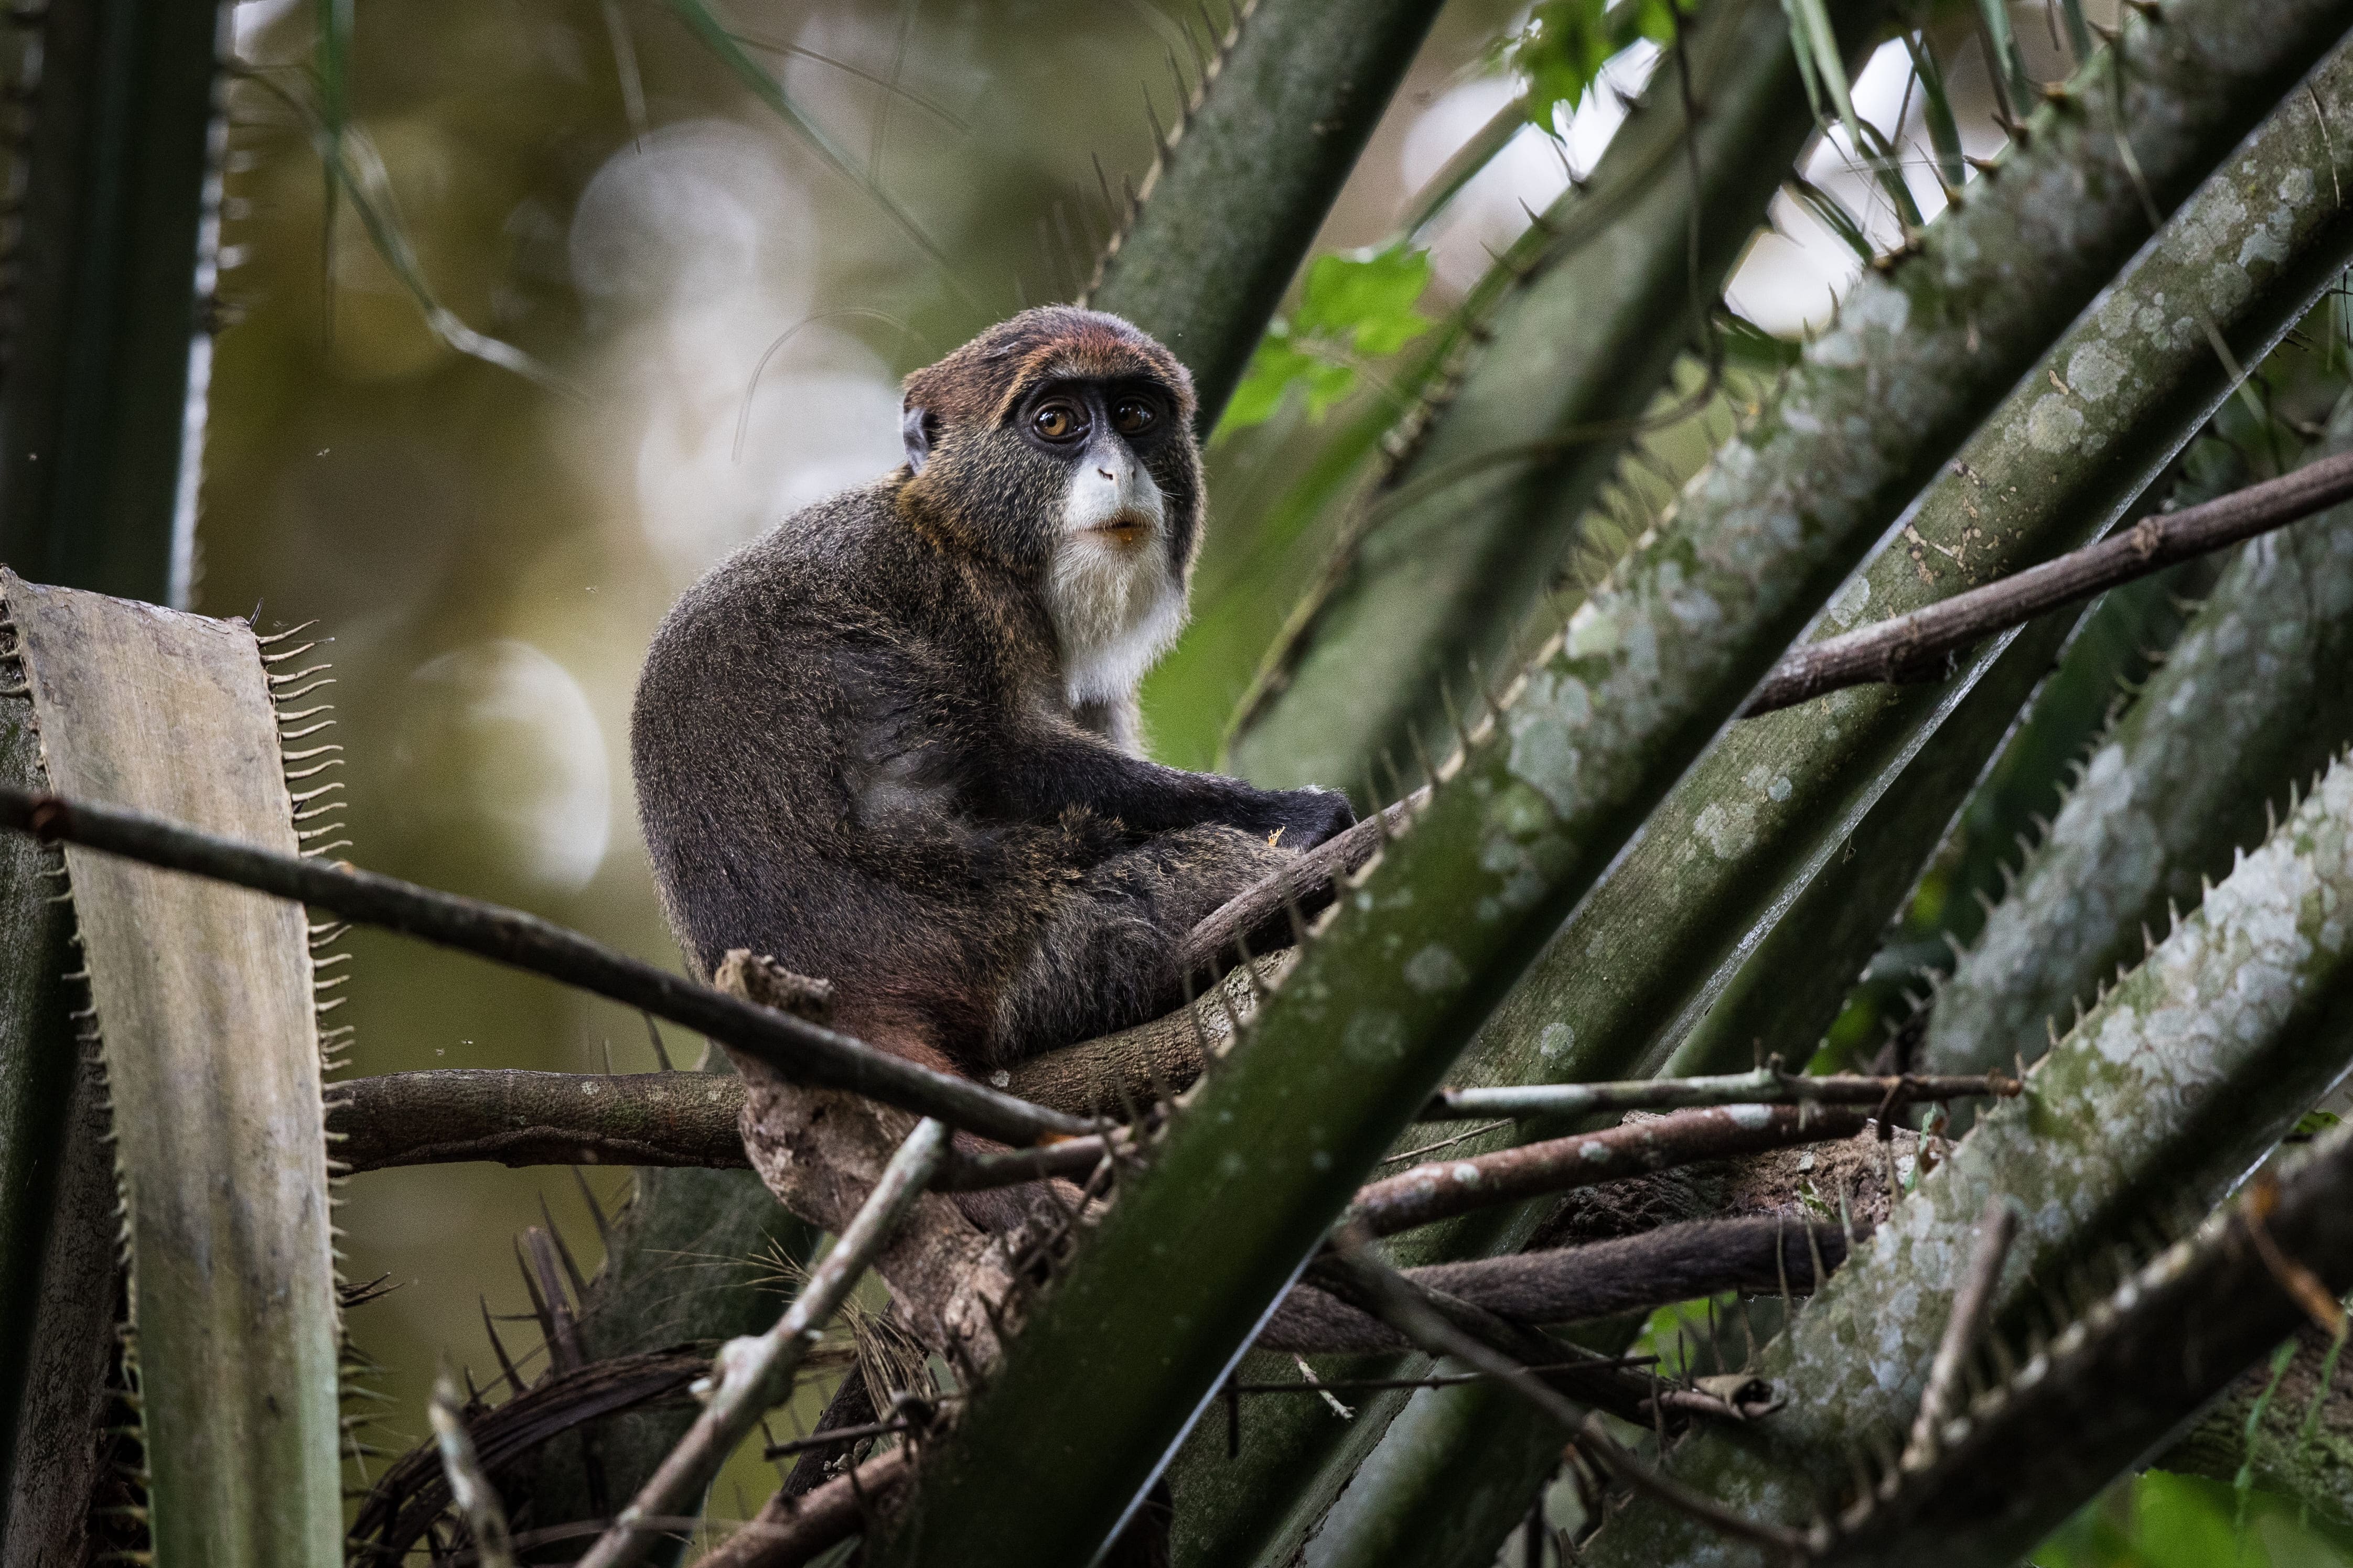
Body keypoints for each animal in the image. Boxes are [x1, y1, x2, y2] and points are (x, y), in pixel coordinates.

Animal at [630, 305, 1356, 1084]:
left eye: (1135, 416)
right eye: (1057, 422)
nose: (1119, 468)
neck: (962, 535)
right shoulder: (958, 600)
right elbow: (1000, 760)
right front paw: (1293, 815)